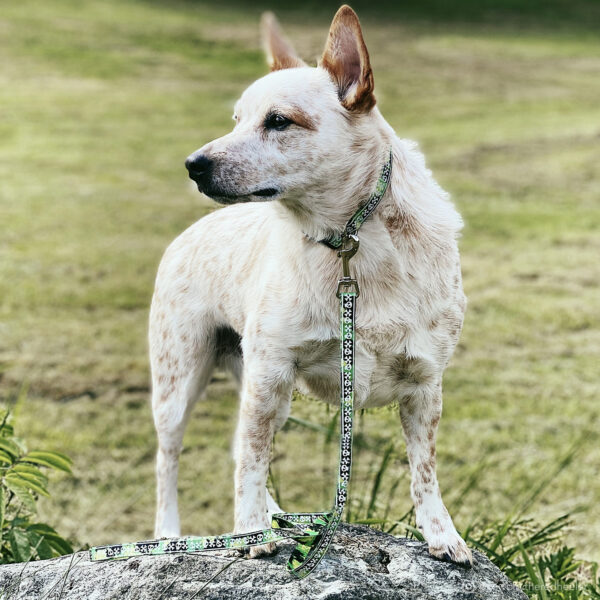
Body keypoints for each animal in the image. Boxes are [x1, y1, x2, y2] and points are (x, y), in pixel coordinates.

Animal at [150, 5, 474, 568]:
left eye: (279, 120)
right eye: (237, 119)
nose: (193, 165)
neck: (350, 243)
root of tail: (190, 233)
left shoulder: (425, 383)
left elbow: (425, 470)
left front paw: (441, 534)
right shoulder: (271, 372)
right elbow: (252, 462)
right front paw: (251, 532)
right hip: (181, 382)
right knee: (173, 460)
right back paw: (172, 533)